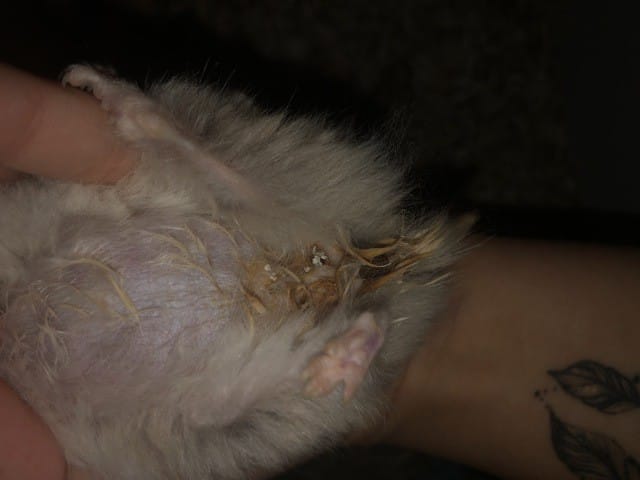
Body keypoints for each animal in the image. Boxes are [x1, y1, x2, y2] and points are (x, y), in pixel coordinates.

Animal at [0, 65, 469, 479]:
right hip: (226, 394)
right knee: (313, 352)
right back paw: (342, 355)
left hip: (222, 183)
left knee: (212, 162)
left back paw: (97, 84)